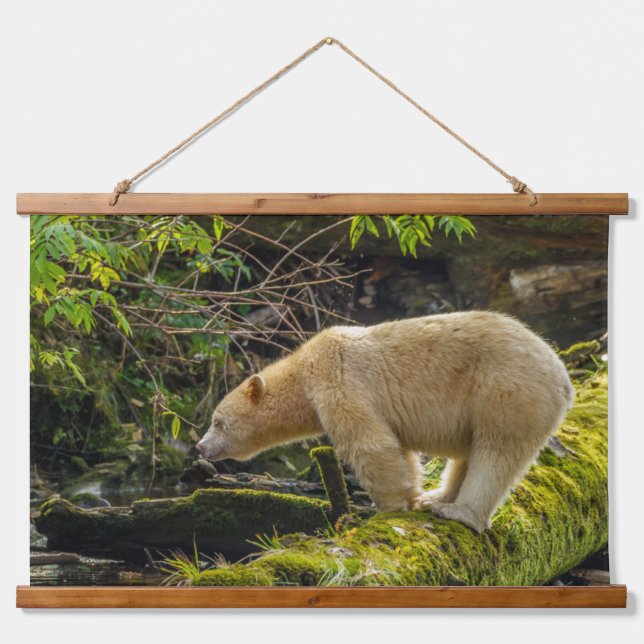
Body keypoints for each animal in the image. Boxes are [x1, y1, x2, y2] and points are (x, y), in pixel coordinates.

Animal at [196, 311, 574, 533]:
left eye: (218, 422)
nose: (200, 446)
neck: (303, 370)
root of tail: (563, 378)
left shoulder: (339, 380)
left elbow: (371, 445)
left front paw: (388, 509)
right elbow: (399, 449)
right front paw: (412, 497)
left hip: (507, 390)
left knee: (497, 451)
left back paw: (460, 512)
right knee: (470, 452)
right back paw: (436, 498)